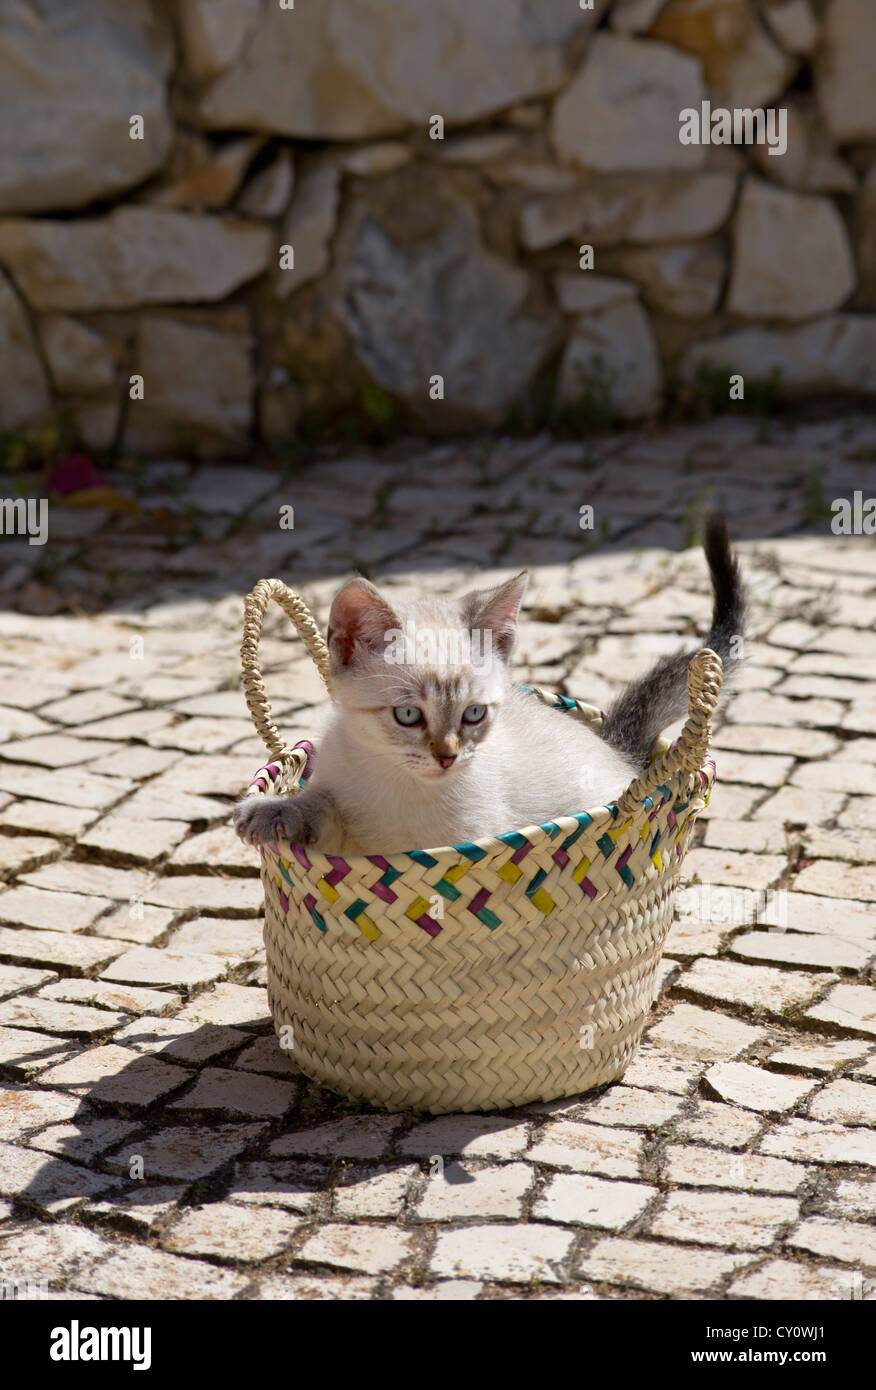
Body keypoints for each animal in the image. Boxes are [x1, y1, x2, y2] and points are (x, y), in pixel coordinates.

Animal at [234, 517, 750, 850]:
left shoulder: (464, 844)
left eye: (474, 714)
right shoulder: (345, 822)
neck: (402, 789)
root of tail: (620, 752)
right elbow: (319, 804)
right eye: (407, 714)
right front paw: (272, 812)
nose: (447, 757)